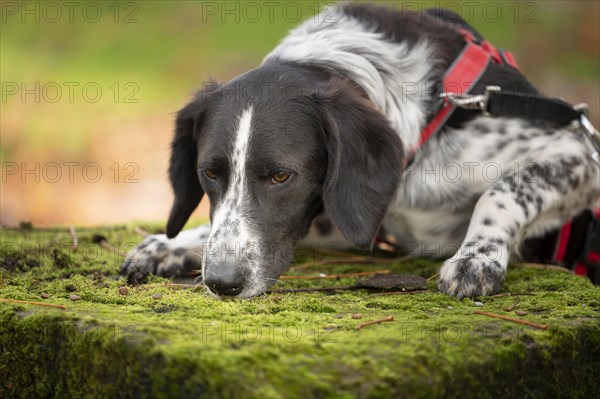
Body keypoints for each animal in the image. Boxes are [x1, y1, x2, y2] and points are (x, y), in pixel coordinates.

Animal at [122, 3, 600, 300]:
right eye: (210, 173)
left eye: (281, 176)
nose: (222, 283)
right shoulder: (345, 216)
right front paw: (173, 243)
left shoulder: (577, 154)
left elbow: (502, 190)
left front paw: (477, 257)